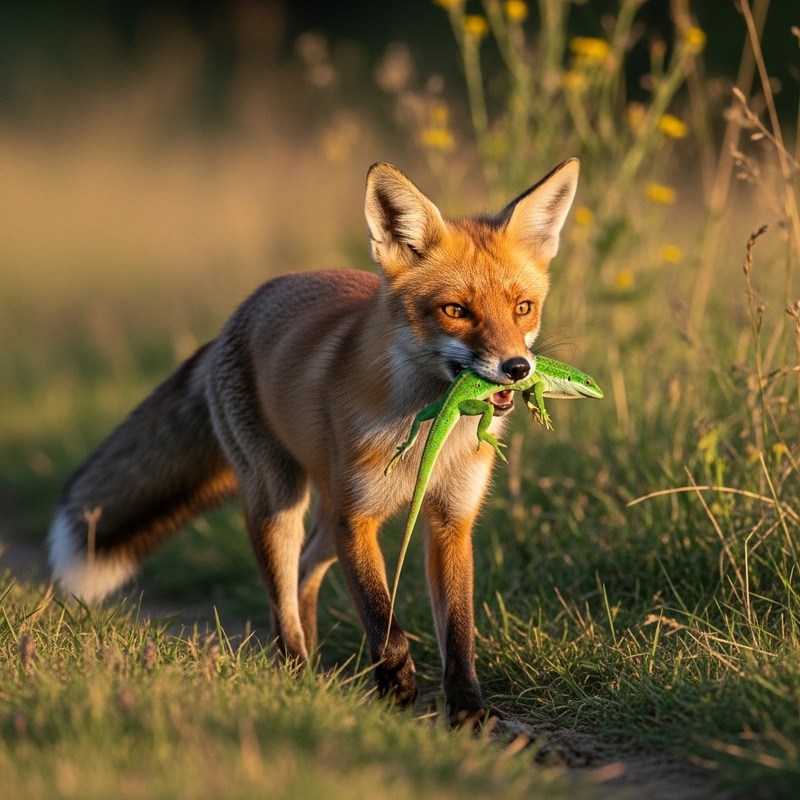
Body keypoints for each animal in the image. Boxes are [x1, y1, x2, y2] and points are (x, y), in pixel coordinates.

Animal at [48, 158, 579, 722]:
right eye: (455, 310)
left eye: (523, 307)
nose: (517, 368)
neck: (428, 432)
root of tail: (243, 309)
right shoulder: (357, 520)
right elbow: (384, 623)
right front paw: (396, 690)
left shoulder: (450, 522)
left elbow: (458, 633)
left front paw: (468, 712)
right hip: (280, 501)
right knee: (283, 596)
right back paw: (296, 675)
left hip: (327, 518)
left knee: (305, 570)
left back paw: (318, 670)